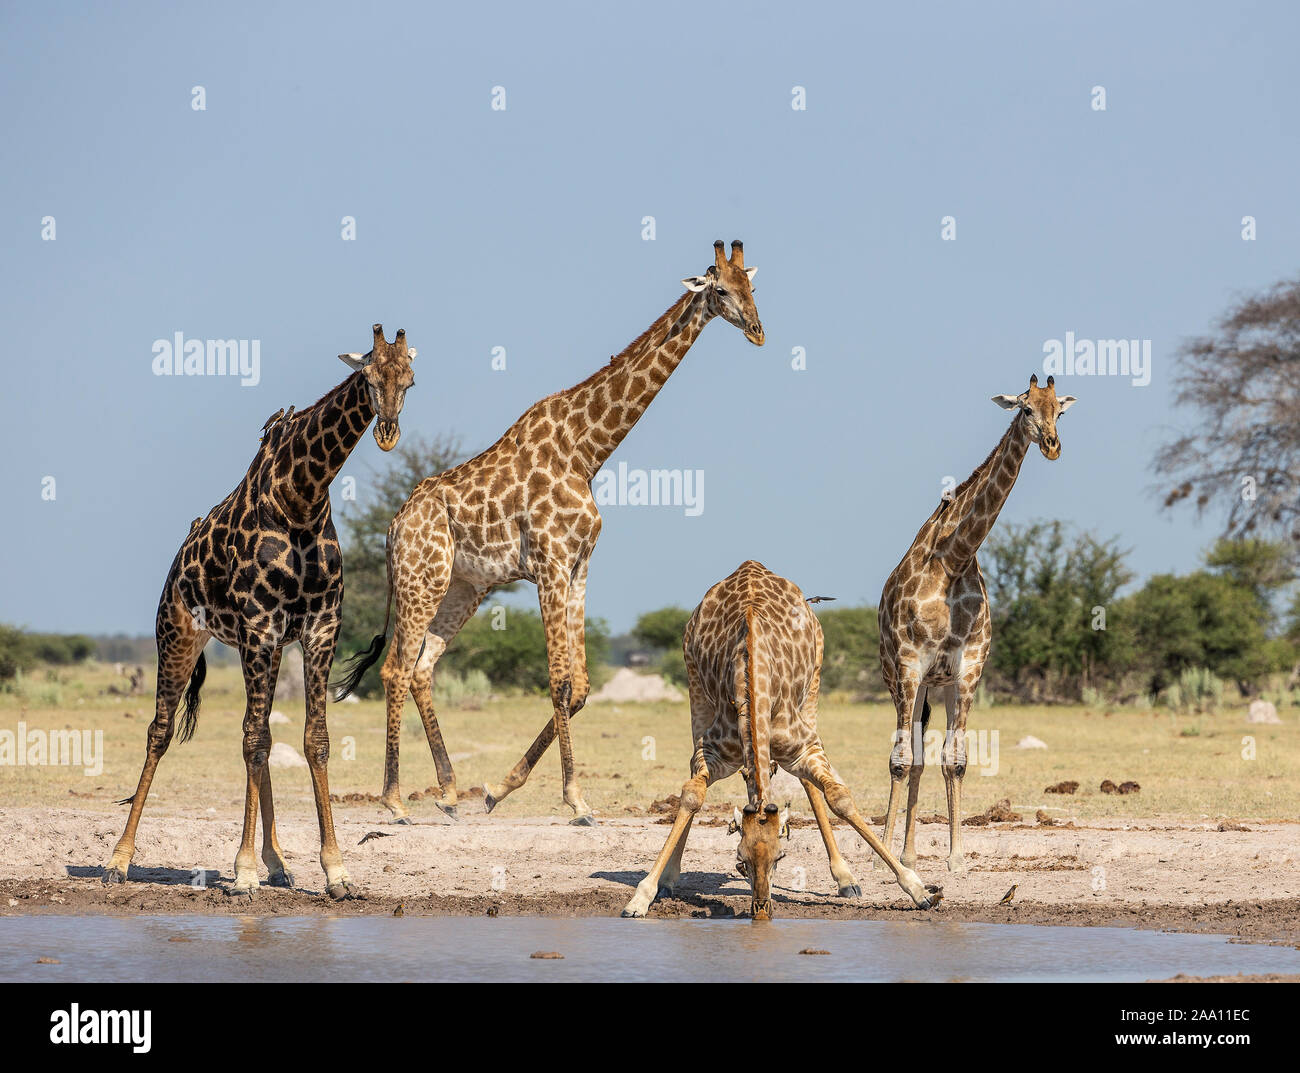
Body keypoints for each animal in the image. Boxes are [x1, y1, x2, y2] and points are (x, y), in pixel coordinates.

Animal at [104, 323, 416, 894]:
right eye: (367, 376)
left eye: (408, 379)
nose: (387, 432)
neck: (302, 498)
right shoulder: (259, 625)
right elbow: (252, 740)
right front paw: (243, 869)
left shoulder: (318, 628)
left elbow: (312, 740)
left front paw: (334, 870)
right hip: (177, 634)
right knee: (161, 731)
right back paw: (118, 860)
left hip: (262, 648)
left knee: (263, 735)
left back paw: (278, 862)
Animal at [332, 244, 759, 827]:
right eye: (719, 290)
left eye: (752, 287)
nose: (758, 331)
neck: (586, 450)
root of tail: (395, 526)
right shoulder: (551, 566)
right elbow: (559, 681)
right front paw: (575, 800)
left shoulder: (578, 568)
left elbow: (580, 686)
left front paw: (499, 788)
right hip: (423, 578)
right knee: (396, 669)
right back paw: (395, 801)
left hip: (462, 588)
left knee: (422, 669)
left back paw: (449, 792)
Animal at [618, 556, 935, 915]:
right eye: (740, 862)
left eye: (780, 858)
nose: (761, 907)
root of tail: (752, 564)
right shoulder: (713, 751)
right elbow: (691, 795)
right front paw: (643, 895)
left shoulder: (803, 746)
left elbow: (839, 797)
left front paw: (918, 889)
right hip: (695, 688)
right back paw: (670, 879)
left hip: (812, 690)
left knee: (810, 782)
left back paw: (846, 879)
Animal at [878, 371, 1081, 874]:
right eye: (1025, 408)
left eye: (1059, 410)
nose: (1052, 445)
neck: (952, 559)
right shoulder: (909, 664)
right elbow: (899, 758)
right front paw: (883, 859)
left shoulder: (969, 668)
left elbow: (956, 760)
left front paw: (956, 858)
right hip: (899, 678)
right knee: (905, 755)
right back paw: (895, 853)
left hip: (941, 685)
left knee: (926, 756)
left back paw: (911, 853)